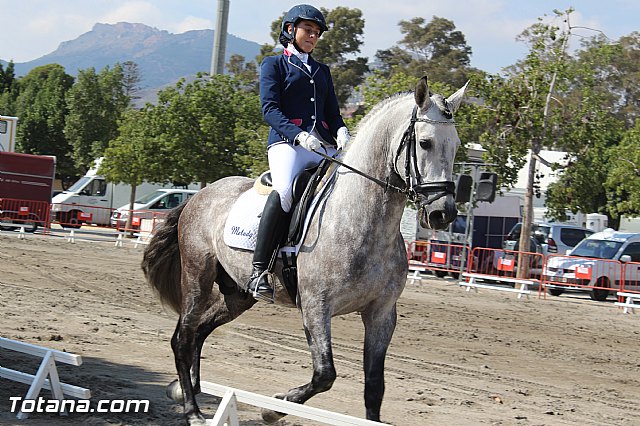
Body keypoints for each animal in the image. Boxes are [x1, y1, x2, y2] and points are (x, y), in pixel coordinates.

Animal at [142, 76, 468, 425]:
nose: (443, 213)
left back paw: (184, 389)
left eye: (456, 144)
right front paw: (273, 408)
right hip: (197, 277)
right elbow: (325, 374)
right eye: (425, 143)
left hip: (238, 295)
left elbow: (374, 386)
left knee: (200, 331)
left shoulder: (381, 313)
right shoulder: (315, 306)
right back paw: (192, 410)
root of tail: (199, 195)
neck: (361, 221)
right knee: (183, 337)